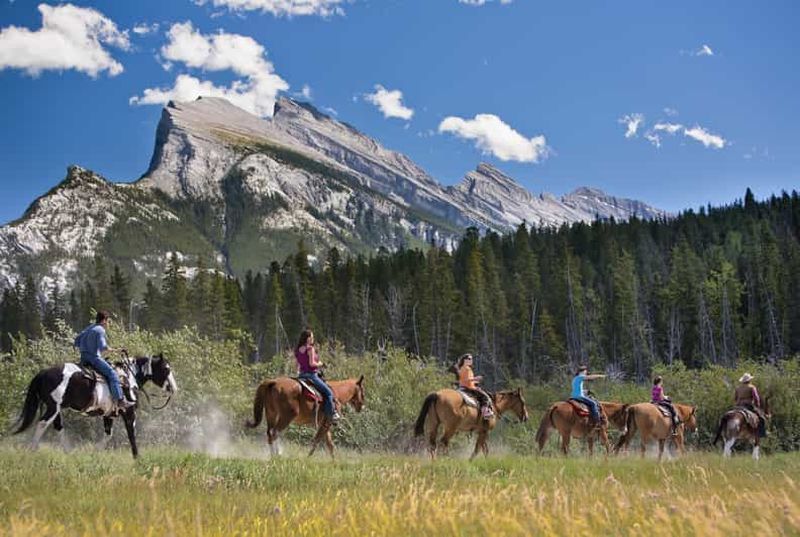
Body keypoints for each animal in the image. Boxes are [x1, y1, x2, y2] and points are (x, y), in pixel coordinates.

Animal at [12, 352, 177, 458]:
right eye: (166, 369)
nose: (173, 388)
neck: (129, 377)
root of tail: (43, 373)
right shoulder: (129, 413)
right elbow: (131, 435)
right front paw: (137, 458)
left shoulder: (108, 414)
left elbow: (108, 435)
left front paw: (95, 453)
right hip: (53, 407)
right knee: (42, 424)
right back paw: (31, 450)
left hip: (57, 409)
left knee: (58, 428)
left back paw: (69, 454)